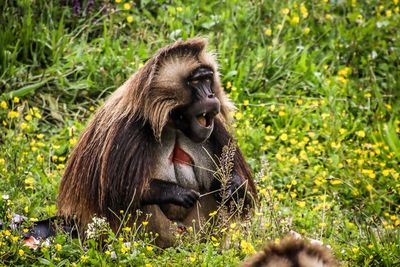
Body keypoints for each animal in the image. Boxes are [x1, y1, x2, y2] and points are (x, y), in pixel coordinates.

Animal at [52, 37, 256, 247]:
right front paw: (176, 193)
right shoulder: (126, 129)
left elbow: (240, 198)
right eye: (196, 81)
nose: (211, 96)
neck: (171, 121)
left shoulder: (217, 130)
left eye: (208, 79)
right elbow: (113, 195)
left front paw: (233, 184)